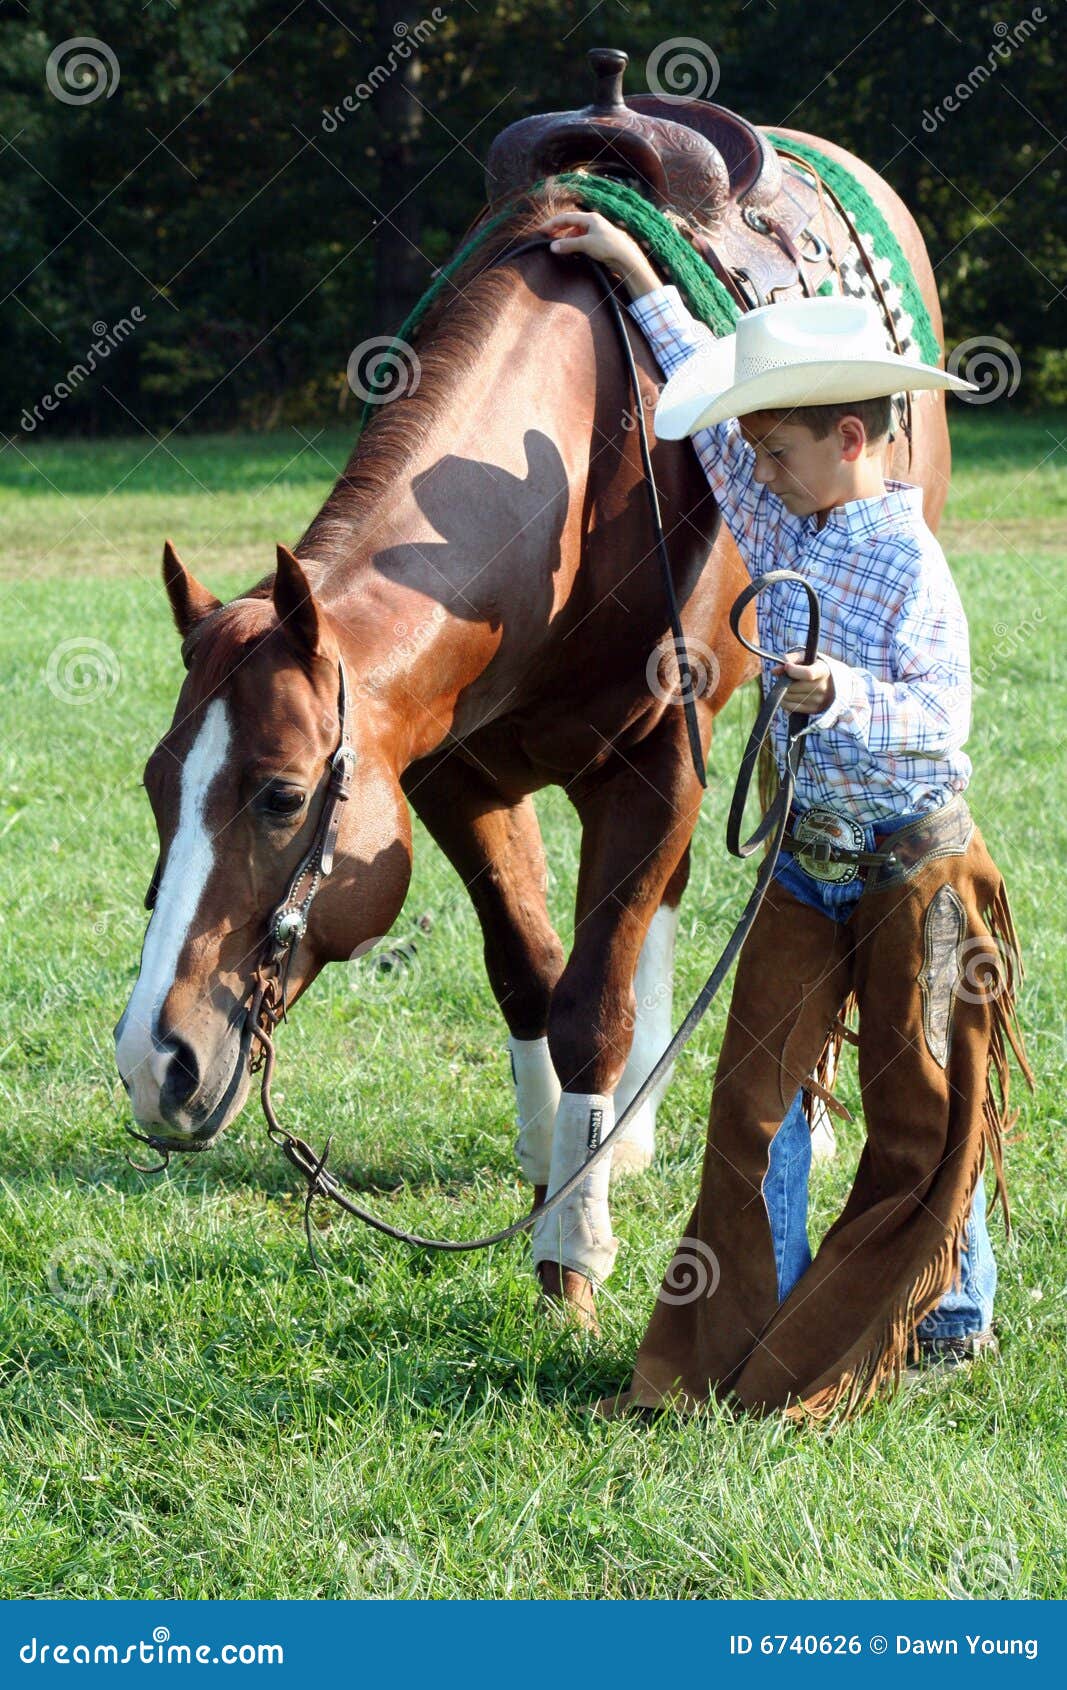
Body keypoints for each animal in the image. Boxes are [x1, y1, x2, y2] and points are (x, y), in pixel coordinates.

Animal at [114, 141, 953, 1331]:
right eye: (155, 785)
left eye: (281, 795)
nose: (157, 1062)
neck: (573, 480)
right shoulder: (455, 781)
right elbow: (530, 973)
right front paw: (551, 1155)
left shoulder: (653, 768)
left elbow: (590, 1004)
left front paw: (570, 1255)